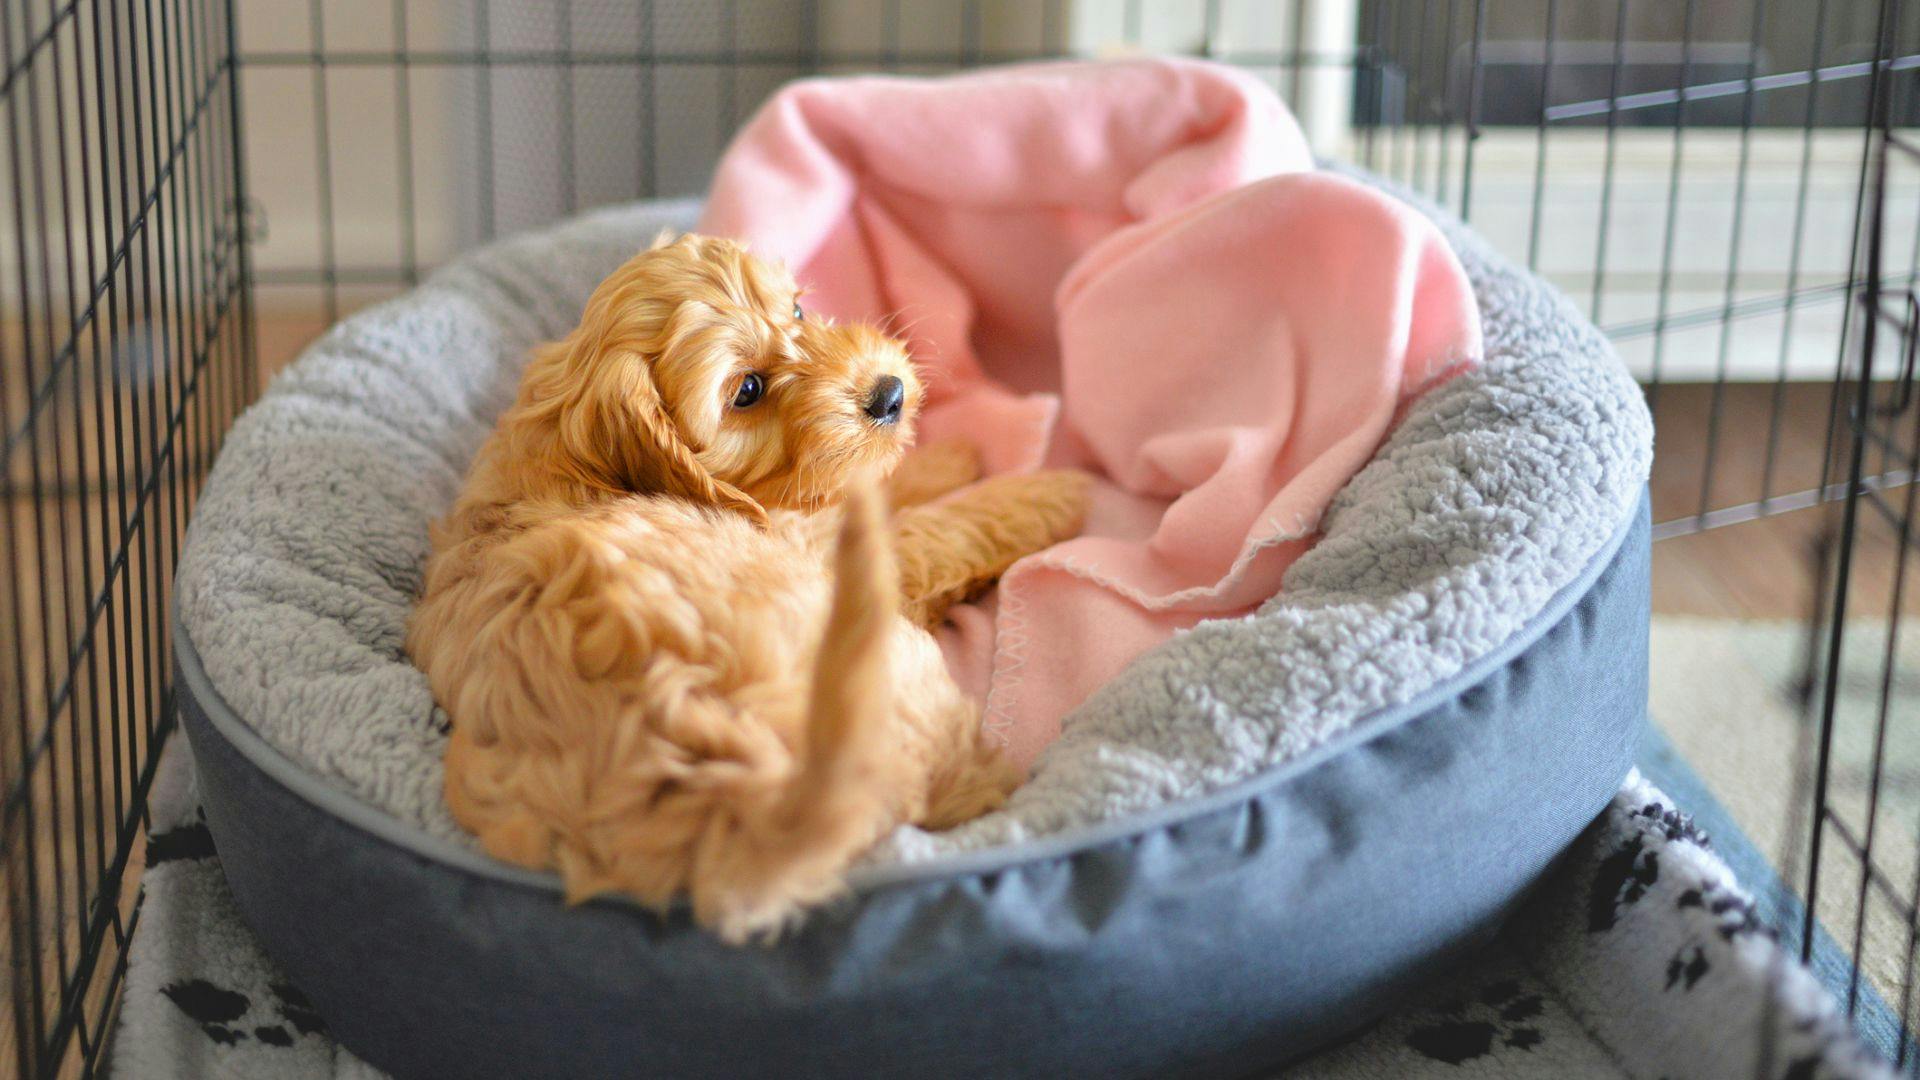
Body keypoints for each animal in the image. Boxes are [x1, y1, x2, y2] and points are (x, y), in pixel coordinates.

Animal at [401, 235, 1098, 941]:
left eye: (796, 310)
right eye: (749, 389)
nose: (890, 395)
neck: (577, 453)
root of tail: (747, 795)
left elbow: (870, 485)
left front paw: (948, 456)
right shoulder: (822, 550)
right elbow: (938, 528)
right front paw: (1046, 492)